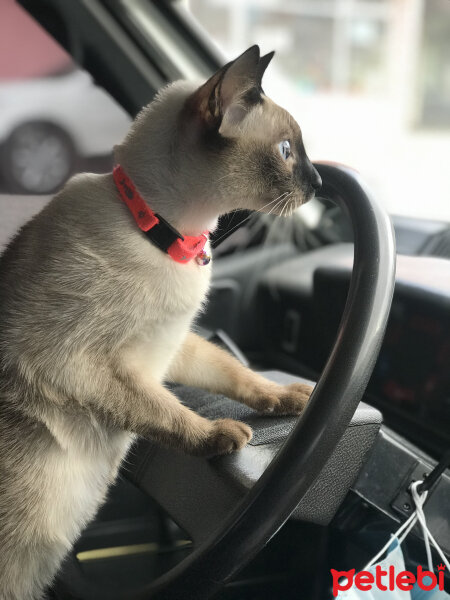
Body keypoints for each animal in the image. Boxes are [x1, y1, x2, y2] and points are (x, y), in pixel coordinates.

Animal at [0, 44, 324, 596]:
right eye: (286, 151)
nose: (320, 182)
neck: (163, 233)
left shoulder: (172, 346)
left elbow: (236, 374)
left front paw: (290, 398)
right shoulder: (77, 364)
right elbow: (165, 413)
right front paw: (217, 437)